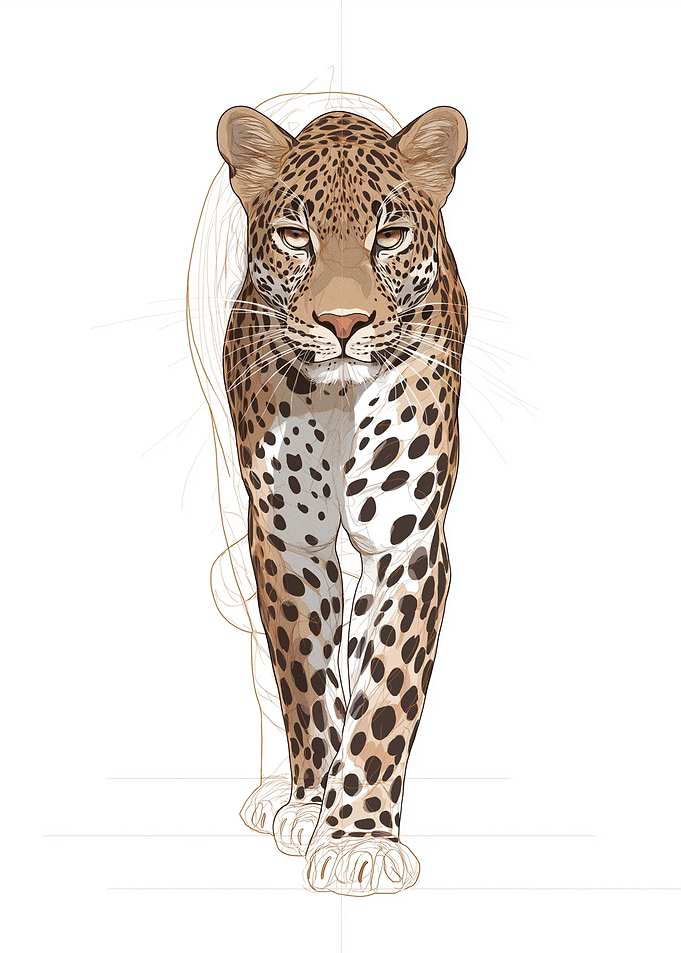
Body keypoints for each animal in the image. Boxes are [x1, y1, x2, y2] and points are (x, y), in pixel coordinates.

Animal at [209, 98, 467, 896]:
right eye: (297, 236)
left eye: (388, 237)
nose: (344, 324)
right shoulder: (286, 538)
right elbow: (304, 677)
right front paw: (311, 805)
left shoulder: (406, 543)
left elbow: (383, 695)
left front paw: (359, 838)